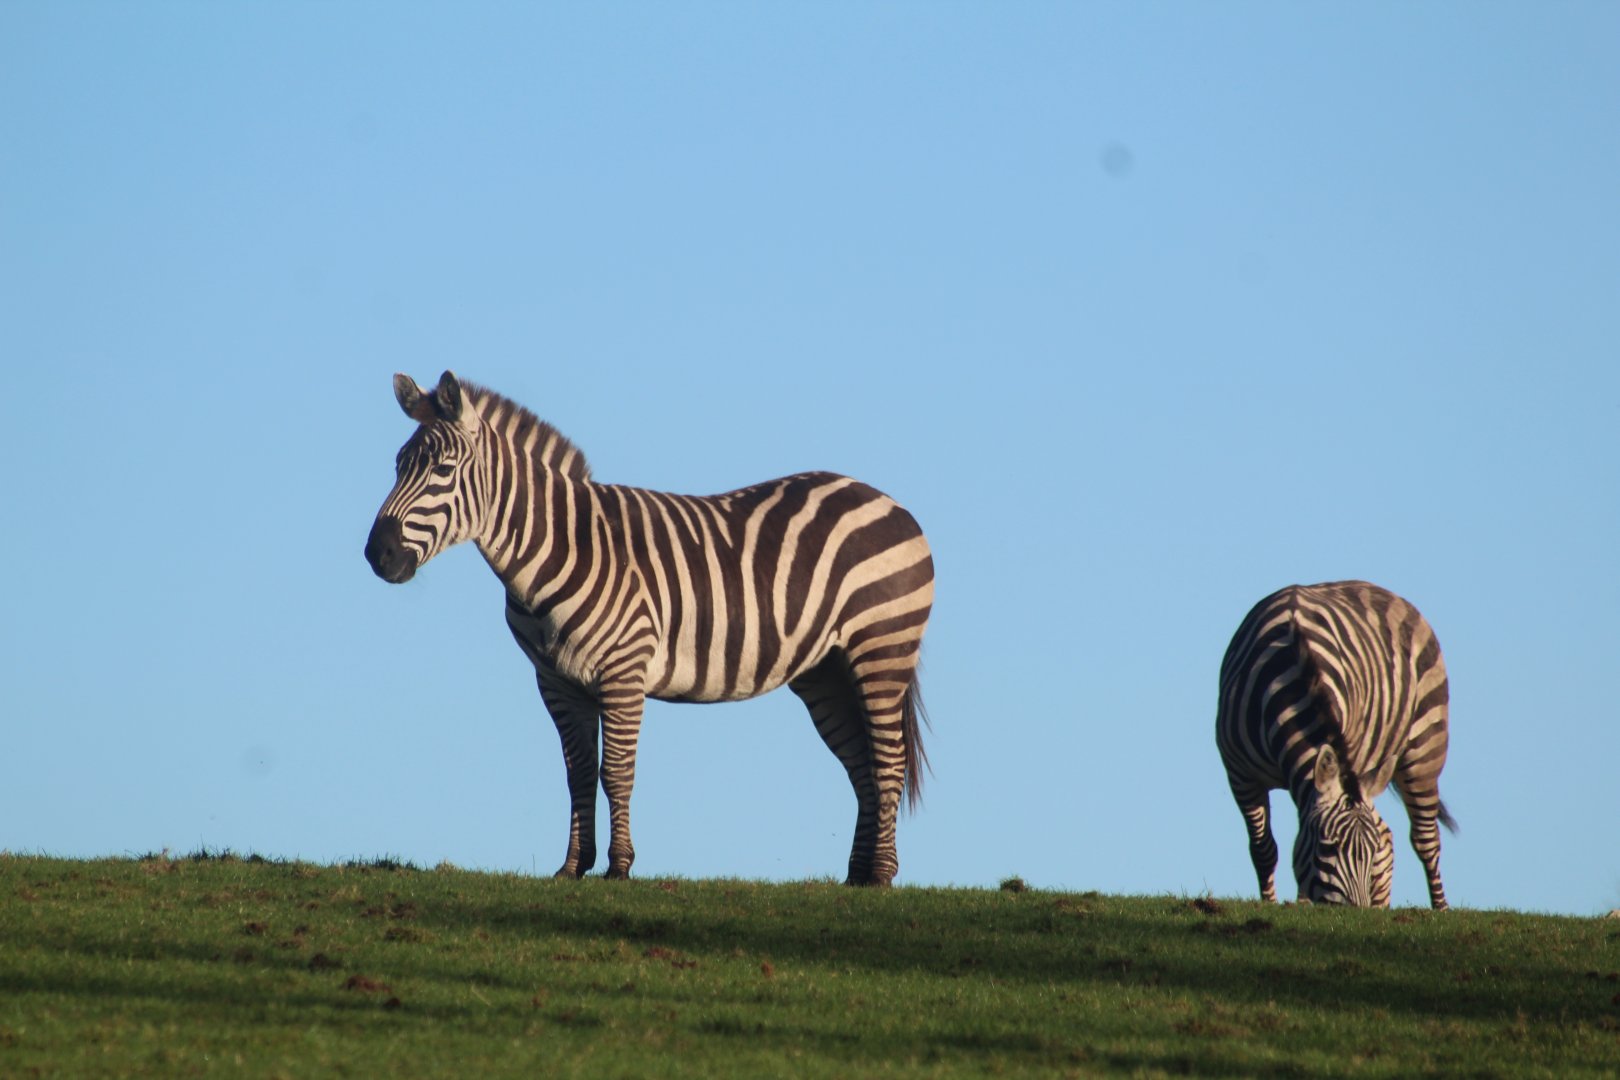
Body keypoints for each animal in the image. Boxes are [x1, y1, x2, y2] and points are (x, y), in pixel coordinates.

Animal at [363, 371, 934, 886]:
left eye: (443, 468)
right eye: (397, 467)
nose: (377, 554)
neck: (559, 547)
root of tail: (886, 499)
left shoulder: (623, 671)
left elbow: (615, 772)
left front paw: (619, 867)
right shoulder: (557, 682)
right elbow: (577, 773)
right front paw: (572, 867)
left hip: (881, 649)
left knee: (888, 760)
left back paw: (881, 875)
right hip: (824, 672)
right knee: (861, 764)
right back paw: (855, 875)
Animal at [1214, 580, 1455, 909]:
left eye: (1366, 851)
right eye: (1327, 847)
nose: (1356, 915)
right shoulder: (1240, 774)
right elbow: (1263, 849)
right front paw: (1273, 903)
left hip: (1424, 749)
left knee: (1423, 839)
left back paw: (1438, 909)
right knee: (1390, 833)